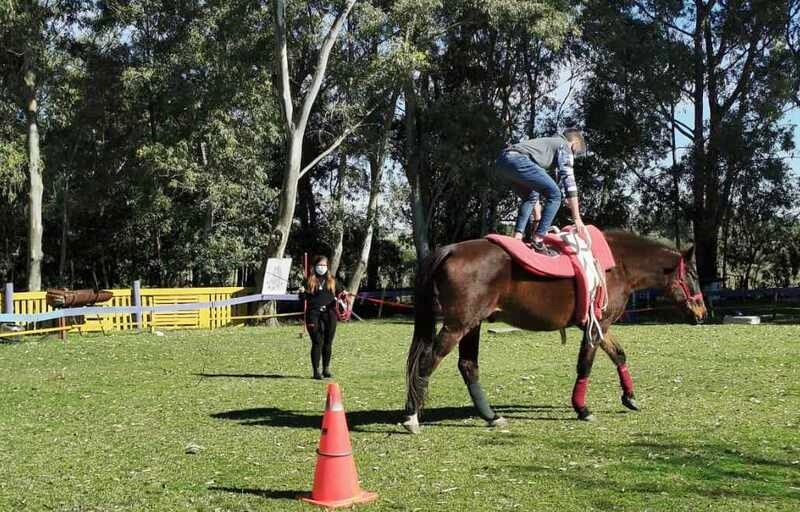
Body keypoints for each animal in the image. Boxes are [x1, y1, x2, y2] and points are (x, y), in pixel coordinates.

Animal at [403, 230, 707, 433]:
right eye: (693, 275)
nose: (702, 313)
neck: (617, 264)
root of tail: (452, 249)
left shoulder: (600, 323)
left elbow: (619, 355)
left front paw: (629, 397)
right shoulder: (596, 326)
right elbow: (585, 364)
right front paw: (582, 408)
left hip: (472, 324)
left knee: (467, 366)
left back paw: (490, 416)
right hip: (458, 325)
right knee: (427, 361)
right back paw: (412, 417)